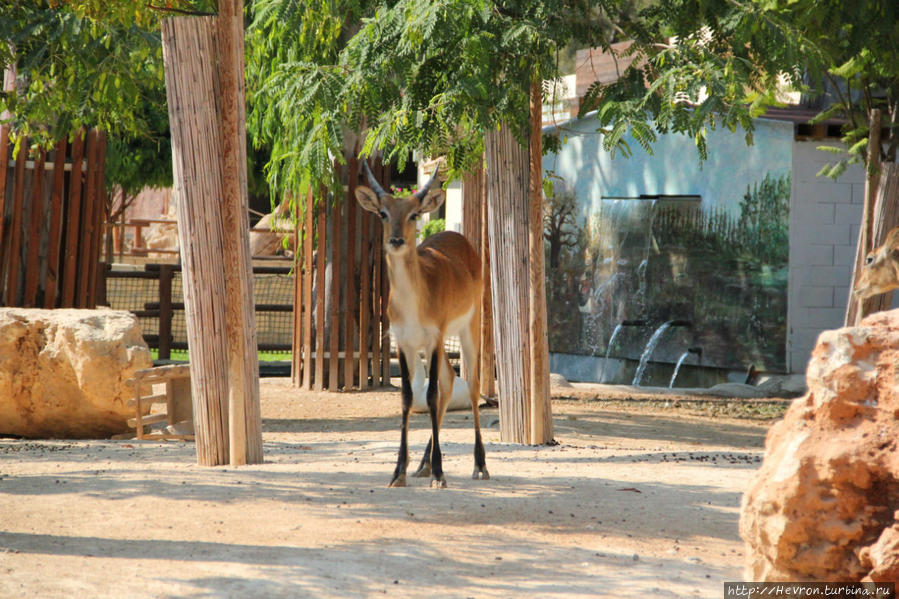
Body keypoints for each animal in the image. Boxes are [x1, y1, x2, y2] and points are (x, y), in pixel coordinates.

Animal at [356, 159, 488, 488]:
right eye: (383, 212)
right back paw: (423, 464)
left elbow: (429, 395)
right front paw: (399, 472)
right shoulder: (403, 342)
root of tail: (459, 237)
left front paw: (441, 474)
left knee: (471, 384)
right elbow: (407, 397)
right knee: (449, 380)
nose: (396, 240)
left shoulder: (435, 338)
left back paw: (479, 466)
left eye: (414, 213)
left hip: (468, 329)